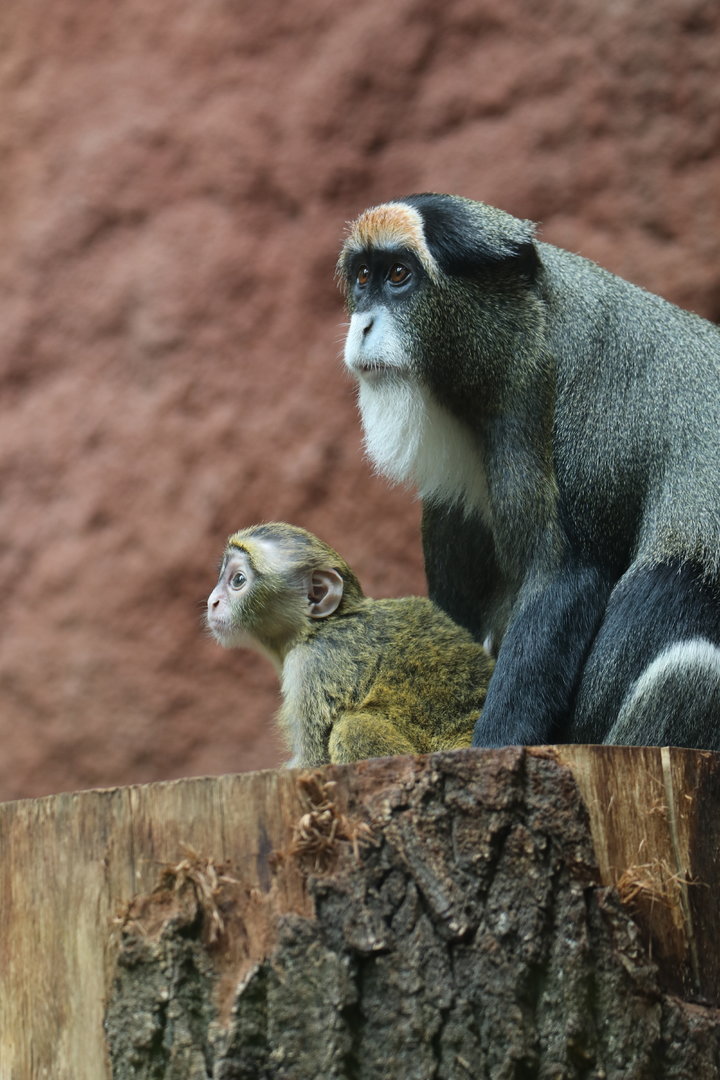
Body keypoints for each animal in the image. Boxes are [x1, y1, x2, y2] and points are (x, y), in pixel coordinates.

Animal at [206, 522, 494, 767]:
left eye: (238, 580)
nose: (212, 601)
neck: (321, 626)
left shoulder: (311, 665)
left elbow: (314, 761)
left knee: (355, 728)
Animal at [337, 193, 720, 751]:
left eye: (400, 275)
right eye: (364, 277)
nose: (362, 326)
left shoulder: (577, 399)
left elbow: (565, 577)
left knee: (688, 648)